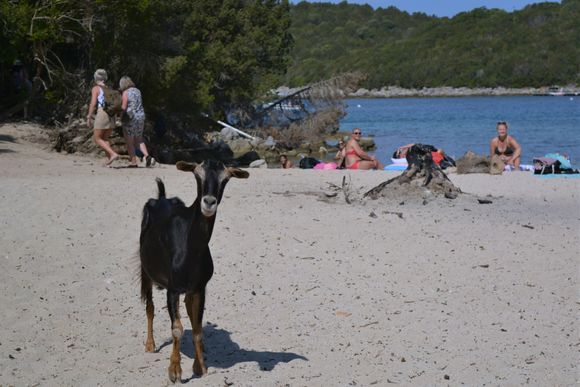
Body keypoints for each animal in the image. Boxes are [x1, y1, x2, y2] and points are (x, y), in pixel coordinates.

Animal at [142, 160, 250, 382]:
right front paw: (175, 371)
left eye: (225, 179)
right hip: (145, 269)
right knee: (149, 306)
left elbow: (198, 329)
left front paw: (200, 367)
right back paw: (150, 344)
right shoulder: (172, 288)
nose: (208, 202)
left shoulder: (200, 287)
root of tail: (161, 197)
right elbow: (177, 329)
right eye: (197, 176)